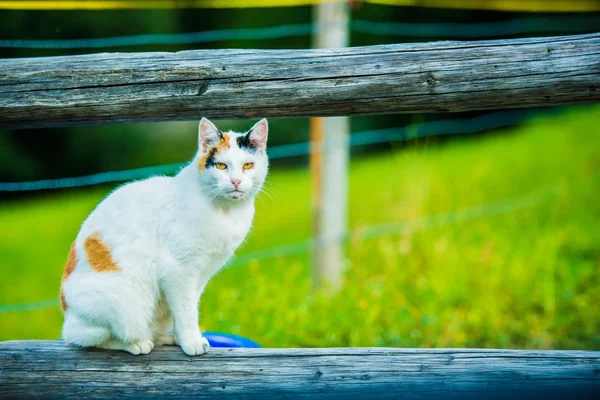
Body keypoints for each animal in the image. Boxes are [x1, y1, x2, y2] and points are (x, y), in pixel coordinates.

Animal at [59, 118, 270, 356]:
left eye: (248, 166)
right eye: (221, 166)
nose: (235, 181)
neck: (226, 212)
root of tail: (67, 313)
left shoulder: (199, 277)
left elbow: (187, 308)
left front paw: (181, 339)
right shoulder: (178, 269)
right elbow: (186, 311)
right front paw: (192, 342)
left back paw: (163, 338)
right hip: (125, 304)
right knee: (88, 338)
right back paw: (137, 343)